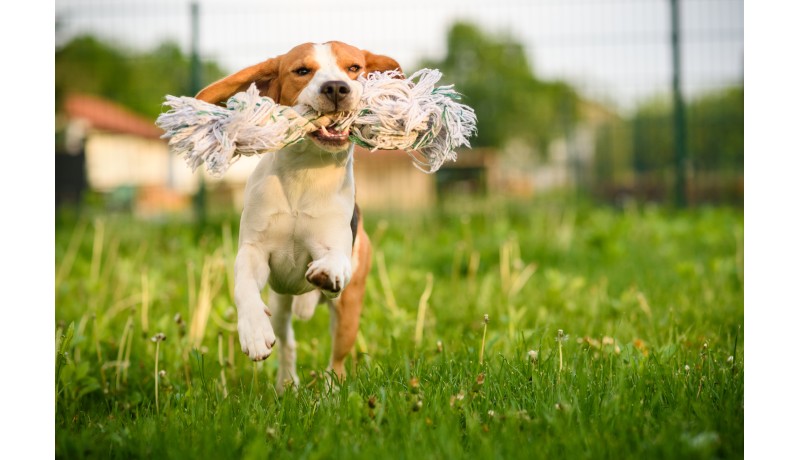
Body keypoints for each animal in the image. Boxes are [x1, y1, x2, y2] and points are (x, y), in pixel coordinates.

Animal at [197, 41, 404, 390]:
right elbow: (244, 286)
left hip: (348, 310)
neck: (307, 171)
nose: (335, 87)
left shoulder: (335, 246)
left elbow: (333, 259)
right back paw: (286, 383)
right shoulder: (253, 250)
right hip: (280, 303)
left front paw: (327, 271)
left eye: (354, 68)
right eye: (302, 70)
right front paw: (253, 332)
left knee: (338, 361)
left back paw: (332, 392)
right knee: (287, 341)